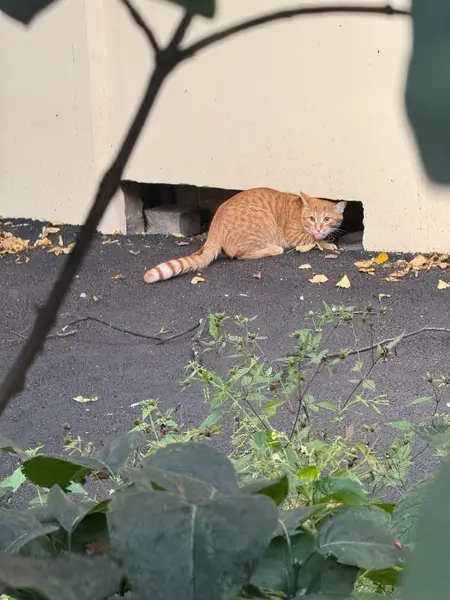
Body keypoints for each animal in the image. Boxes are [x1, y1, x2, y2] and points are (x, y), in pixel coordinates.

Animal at [144, 187, 346, 283]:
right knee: (239, 254)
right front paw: (327, 243)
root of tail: (214, 226)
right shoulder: (295, 236)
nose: (319, 227)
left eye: (326, 219)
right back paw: (273, 249)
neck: (298, 213)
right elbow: (314, 240)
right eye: (312, 218)